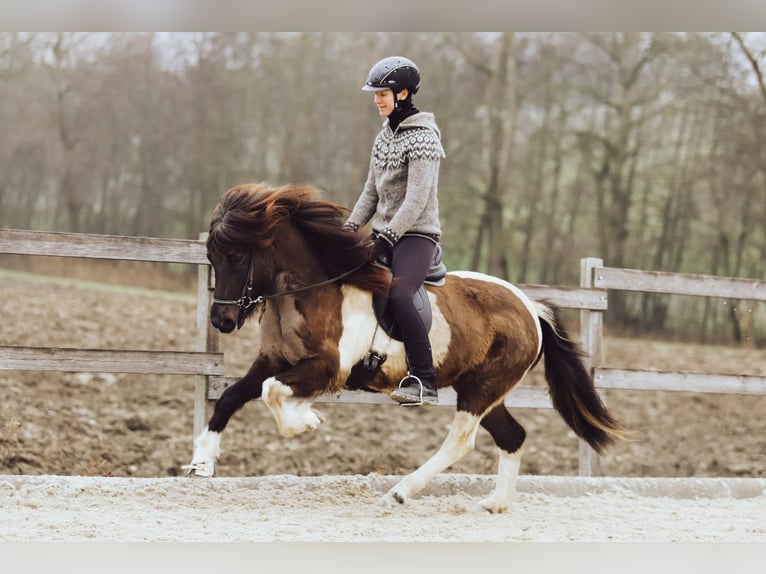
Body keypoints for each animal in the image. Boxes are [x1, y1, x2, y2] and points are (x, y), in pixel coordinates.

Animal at [185, 182, 630, 513]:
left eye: (237, 256)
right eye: (212, 257)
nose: (221, 321)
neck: (313, 289)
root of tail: (531, 308)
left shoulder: (326, 368)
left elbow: (272, 392)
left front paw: (307, 420)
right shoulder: (275, 359)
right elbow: (234, 395)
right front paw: (201, 463)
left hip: (481, 389)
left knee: (461, 441)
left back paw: (401, 492)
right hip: (484, 389)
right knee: (513, 436)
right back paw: (495, 504)